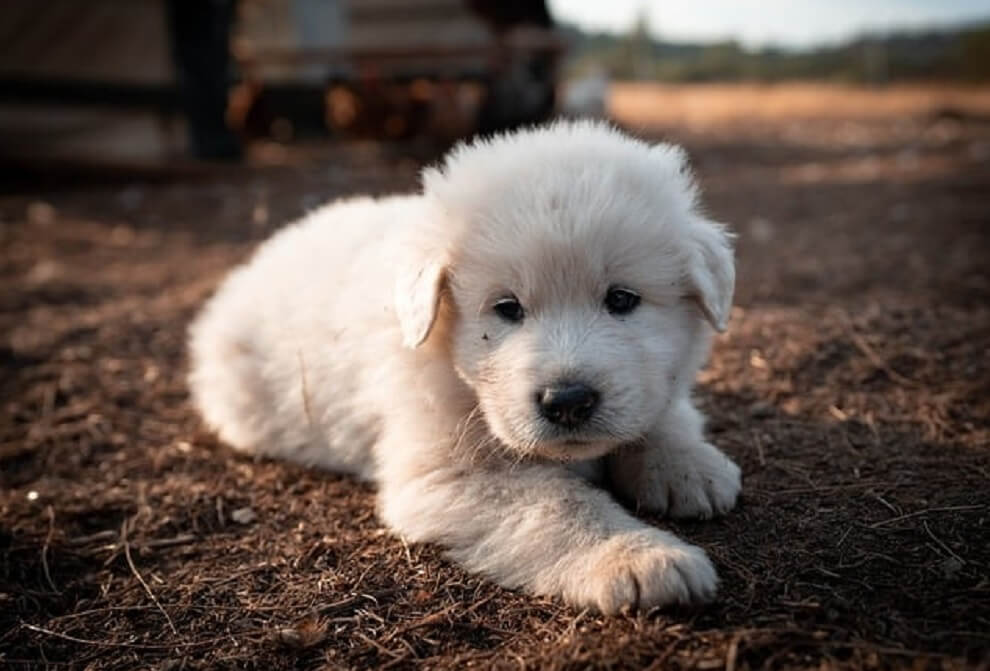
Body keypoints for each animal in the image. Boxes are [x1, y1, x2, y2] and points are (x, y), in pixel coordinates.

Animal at [188, 121, 744, 616]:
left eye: (622, 299)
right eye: (507, 308)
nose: (567, 401)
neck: (457, 376)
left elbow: (664, 411)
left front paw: (687, 465)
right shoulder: (446, 472)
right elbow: (558, 507)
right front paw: (640, 557)